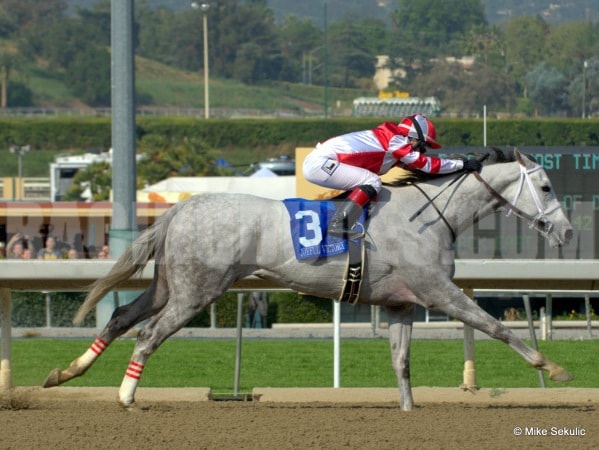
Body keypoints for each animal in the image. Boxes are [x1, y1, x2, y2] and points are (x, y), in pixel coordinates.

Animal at [43, 148, 574, 411]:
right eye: (547, 187)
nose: (567, 232)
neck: (427, 215)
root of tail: (181, 208)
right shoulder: (437, 291)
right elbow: (495, 327)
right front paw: (553, 368)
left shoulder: (400, 303)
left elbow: (401, 362)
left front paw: (409, 413)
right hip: (197, 291)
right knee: (148, 335)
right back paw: (126, 397)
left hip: (168, 286)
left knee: (121, 318)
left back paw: (64, 373)